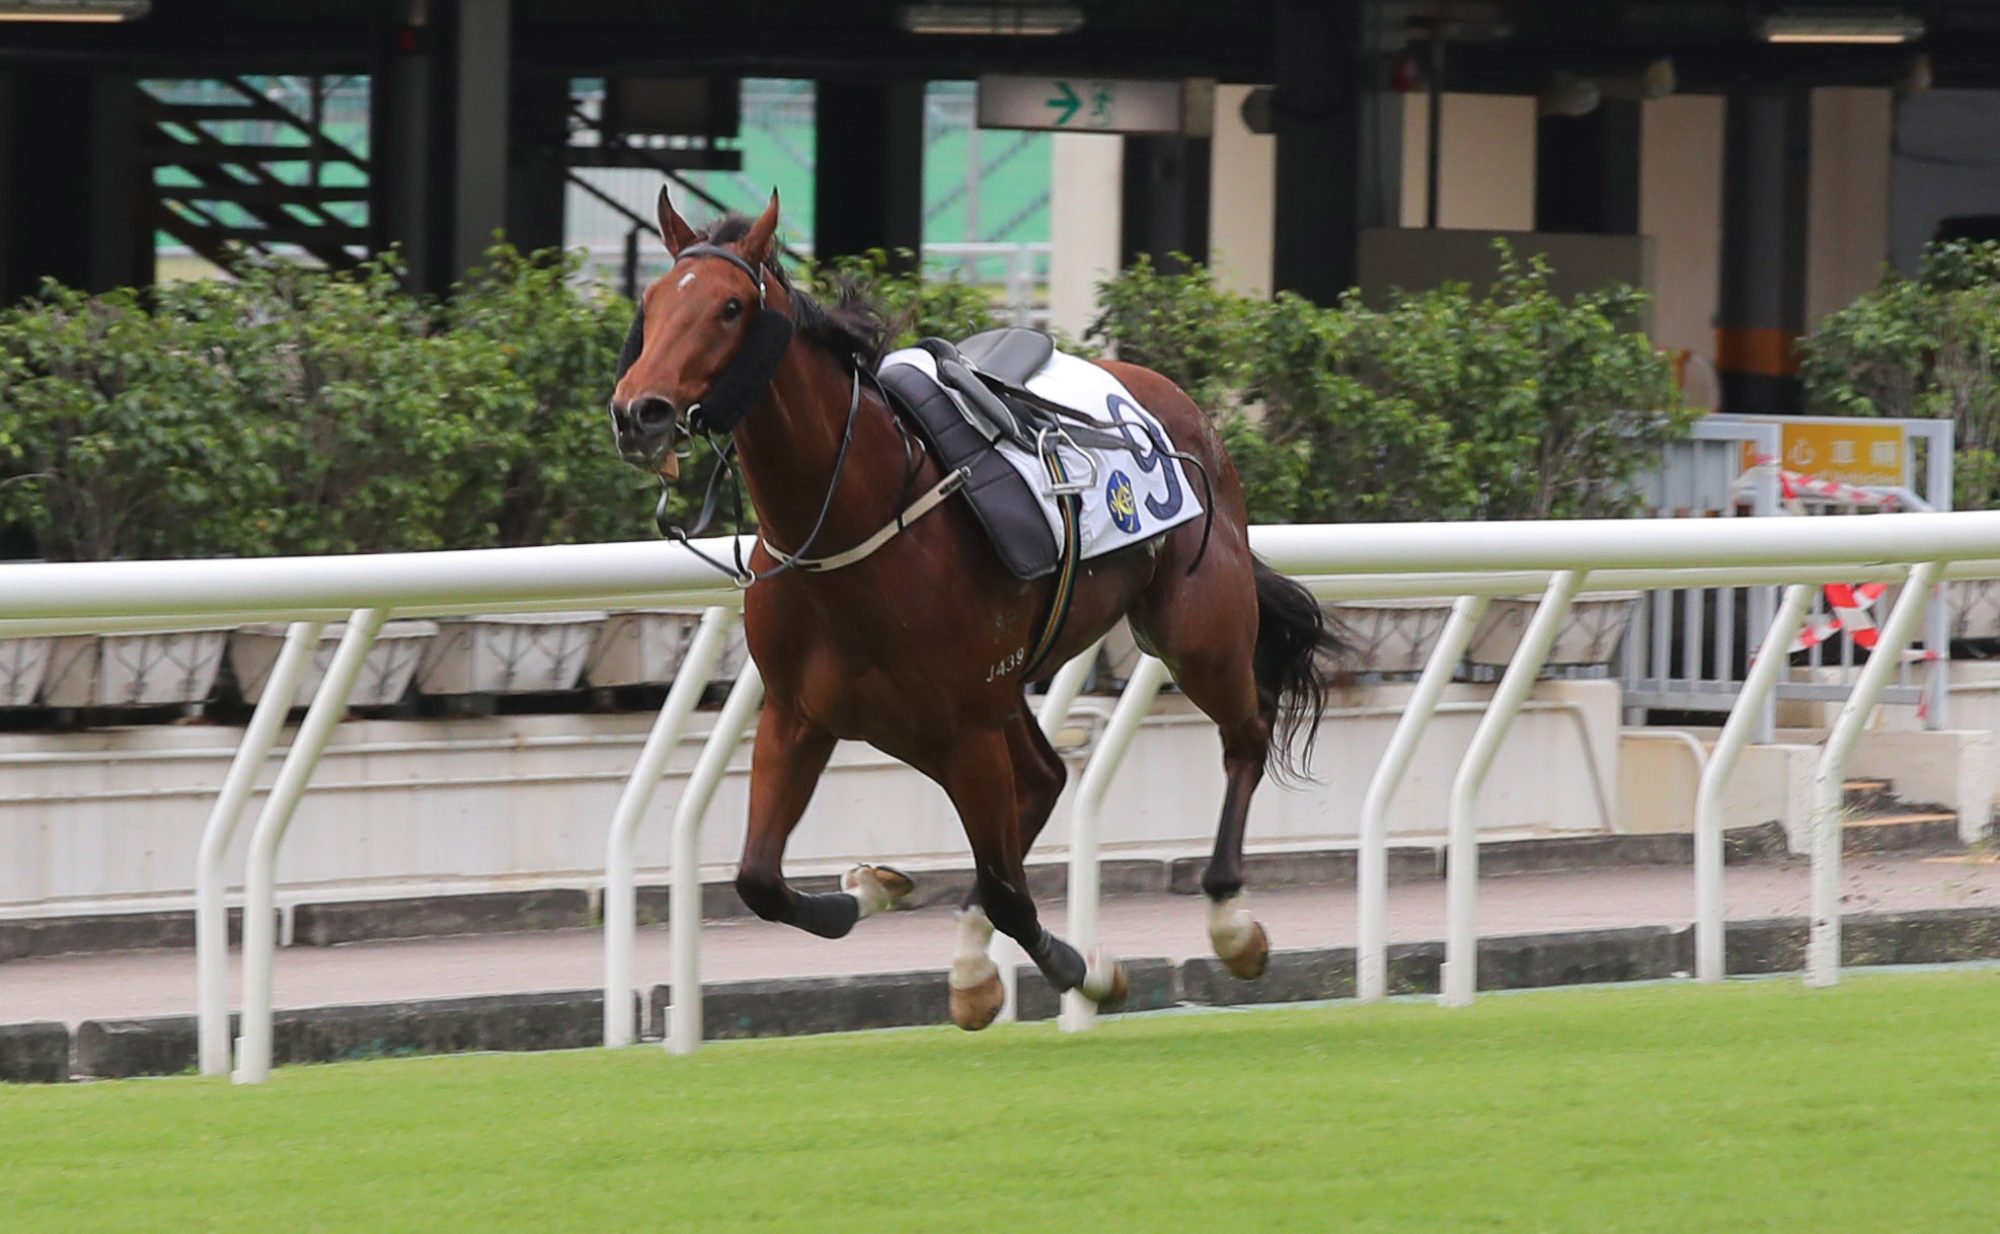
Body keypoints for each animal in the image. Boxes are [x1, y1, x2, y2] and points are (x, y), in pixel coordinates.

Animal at [600, 192, 1336, 1032]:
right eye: (652, 302)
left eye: (729, 307)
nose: (639, 413)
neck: (857, 517)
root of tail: (1171, 399)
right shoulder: (802, 713)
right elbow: (759, 880)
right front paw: (874, 889)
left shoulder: (964, 726)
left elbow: (1014, 894)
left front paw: (1088, 971)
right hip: (950, 709)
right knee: (1044, 778)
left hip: (1193, 632)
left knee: (1243, 733)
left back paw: (1230, 920)